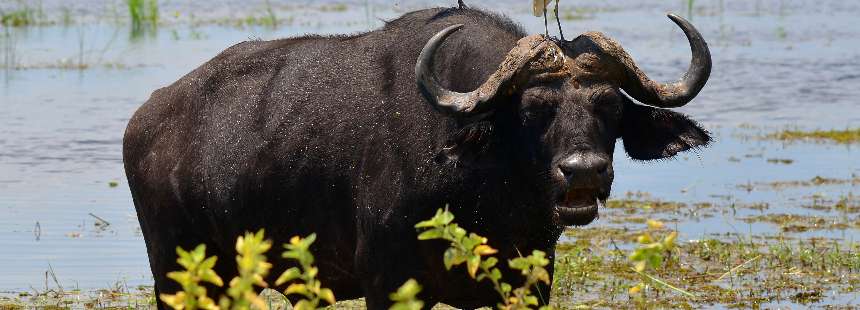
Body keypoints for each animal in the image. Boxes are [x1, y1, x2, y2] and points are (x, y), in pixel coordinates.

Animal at [122, 3, 712, 308]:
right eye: (533, 109)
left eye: (609, 105)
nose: (583, 173)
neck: (485, 193)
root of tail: (143, 122)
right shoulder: (388, 283)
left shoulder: (530, 282)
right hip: (175, 272)